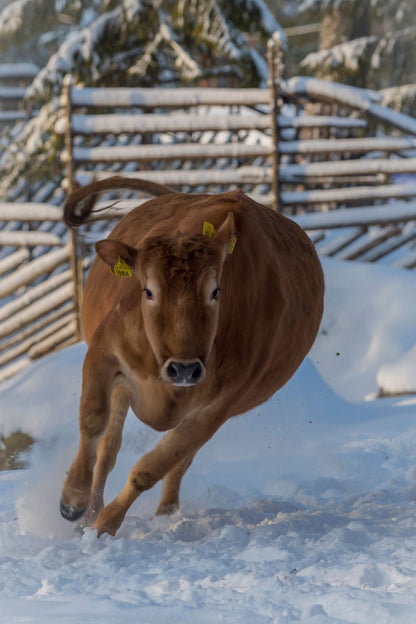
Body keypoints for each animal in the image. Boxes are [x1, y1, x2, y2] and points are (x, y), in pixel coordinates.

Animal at [60, 179, 324, 536]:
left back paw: (164, 515)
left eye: (215, 291)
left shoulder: (218, 407)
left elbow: (153, 467)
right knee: (108, 449)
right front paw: (74, 499)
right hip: (124, 388)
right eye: (148, 291)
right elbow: (92, 421)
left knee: (177, 464)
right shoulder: (104, 353)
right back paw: (88, 512)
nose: (184, 369)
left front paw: (106, 525)